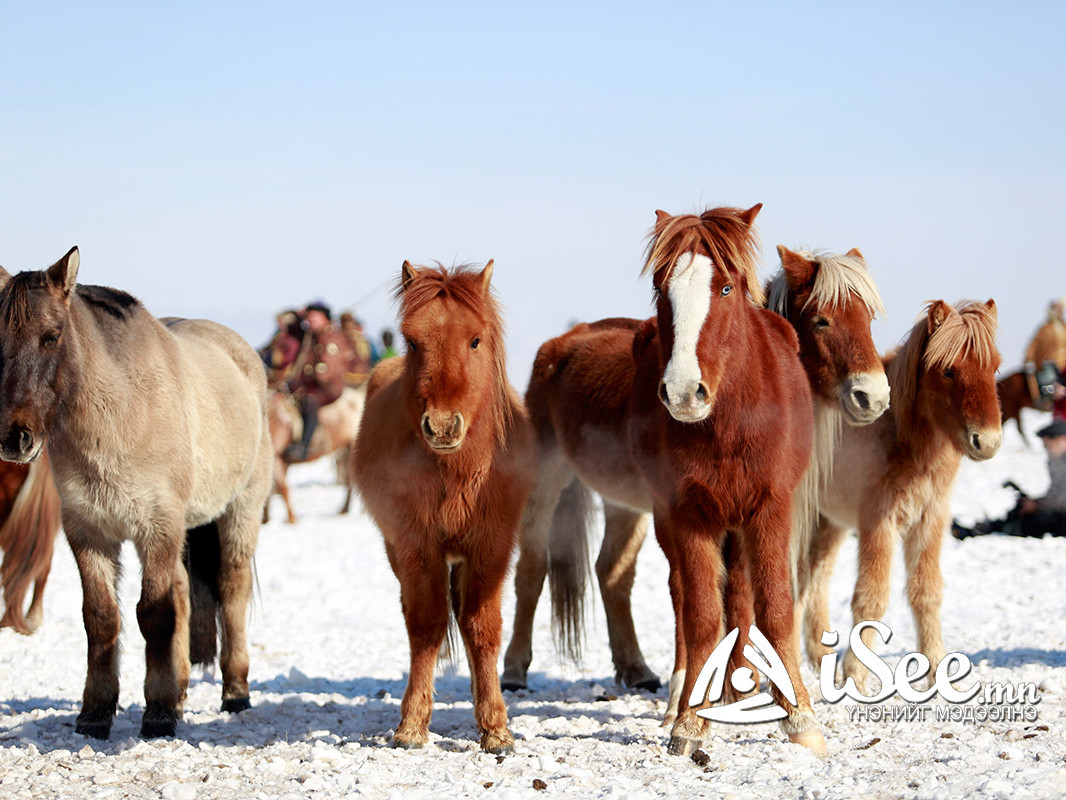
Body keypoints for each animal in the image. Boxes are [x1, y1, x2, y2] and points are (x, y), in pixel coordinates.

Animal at [351, 263, 533, 759]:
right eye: (413, 341)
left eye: (475, 340)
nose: (442, 425)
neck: (457, 472)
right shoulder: (417, 548)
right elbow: (427, 625)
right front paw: (412, 725)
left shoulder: (492, 548)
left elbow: (482, 628)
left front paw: (496, 729)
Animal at [801, 300, 1002, 695]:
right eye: (948, 371)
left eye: (995, 367)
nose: (987, 442)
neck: (901, 436)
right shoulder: (879, 522)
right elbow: (871, 599)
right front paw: (856, 676)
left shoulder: (930, 520)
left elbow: (927, 593)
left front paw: (938, 673)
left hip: (828, 523)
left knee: (815, 578)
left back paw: (820, 659)